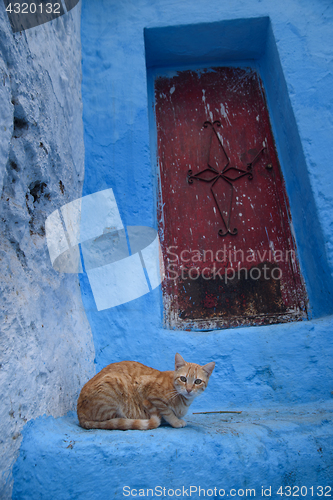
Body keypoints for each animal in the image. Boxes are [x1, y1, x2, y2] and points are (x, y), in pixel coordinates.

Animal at [76, 352, 214, 430]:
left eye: (197, 381)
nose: (189, 389)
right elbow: (167, 412)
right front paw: (175, 421)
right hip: (114, 382)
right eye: (183, 379)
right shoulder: (151, 394)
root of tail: (79, 414)